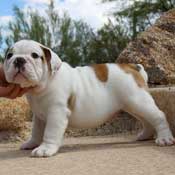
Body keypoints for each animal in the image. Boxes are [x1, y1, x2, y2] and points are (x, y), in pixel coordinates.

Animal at [3, 39, 175, 157]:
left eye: (34, 55)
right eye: (9, 56)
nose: (19, 59)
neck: (42, 86)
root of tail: (133, 67)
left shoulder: (56, 113)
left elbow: (50, 132)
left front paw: (45, 149)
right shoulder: (39, 116)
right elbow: (36, 131)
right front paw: (32, 143)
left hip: (138, 101)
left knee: (158, 116)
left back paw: (165, 139)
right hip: (133, 104)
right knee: (147, 120)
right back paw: (145, 136)